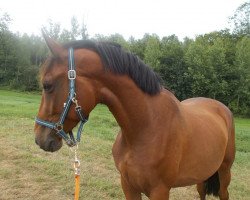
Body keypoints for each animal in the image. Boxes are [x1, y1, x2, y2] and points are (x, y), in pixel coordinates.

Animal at [34, 35, 235, 199]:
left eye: (47, 85)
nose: (39, 138)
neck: (147, 127)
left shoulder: (160, 191)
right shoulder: (128, 185)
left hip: (225, 170)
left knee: (224, 193)